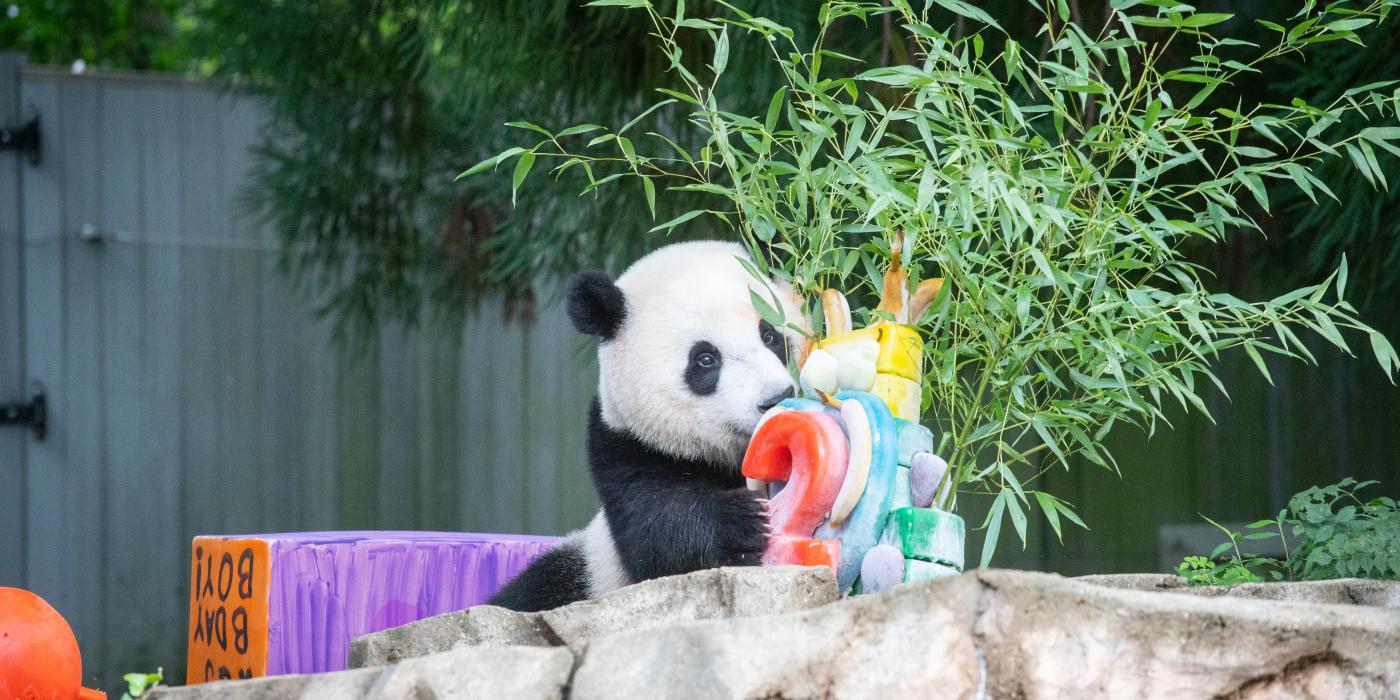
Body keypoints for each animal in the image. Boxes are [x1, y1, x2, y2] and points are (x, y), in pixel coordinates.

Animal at [487, 240, 806, 613]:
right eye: (705, 359)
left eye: (770, 335)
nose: (776, 398)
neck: (726, 456)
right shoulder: (627, 448)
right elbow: (661, 536)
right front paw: (743, 520)